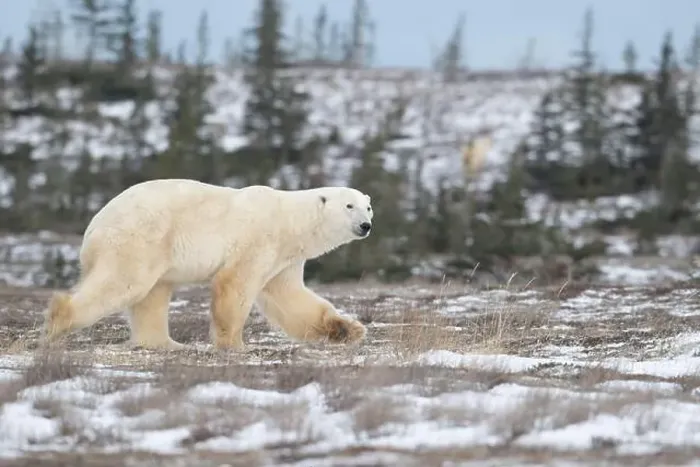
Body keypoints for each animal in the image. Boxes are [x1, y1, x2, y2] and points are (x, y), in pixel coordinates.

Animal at [42, 178, 373, 351]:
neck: (290, 220)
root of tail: (94, 225)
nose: (366, 225)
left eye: (368, 206)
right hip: (139, 239)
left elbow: (290, 298)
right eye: (349, 206)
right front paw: (232, 344)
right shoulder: (258, 239)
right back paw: (60, 318)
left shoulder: (285, 258)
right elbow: (235, 283)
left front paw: (347, 330)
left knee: (152, 297)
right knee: (125, 283)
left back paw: (166, 343)